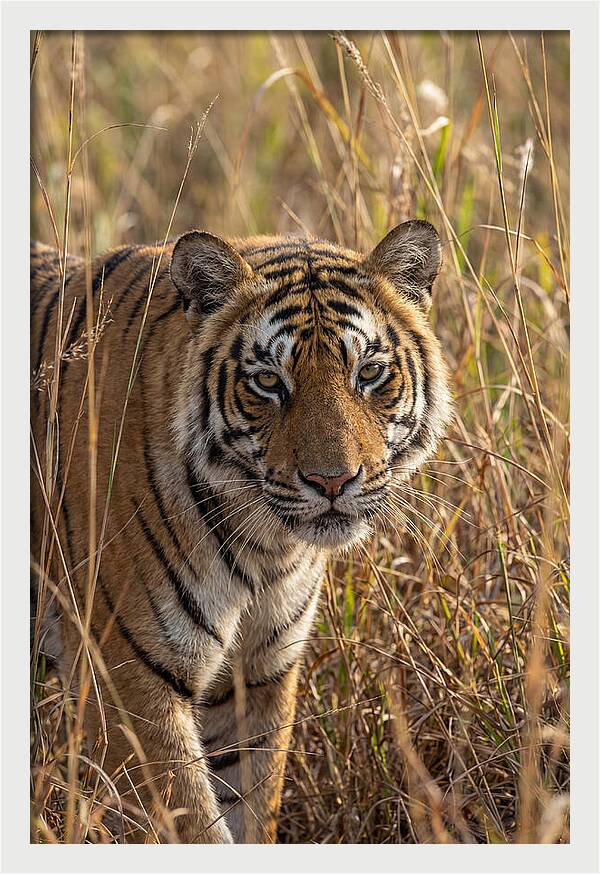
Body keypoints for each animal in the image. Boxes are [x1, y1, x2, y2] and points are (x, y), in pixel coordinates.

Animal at [30, 220, 452, 844]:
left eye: (370, 373)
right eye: (268, 381)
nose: (332, 480)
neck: (266, 549)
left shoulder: (258, 674)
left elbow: (252, 805)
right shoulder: (127, 680)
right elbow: (191, 826)